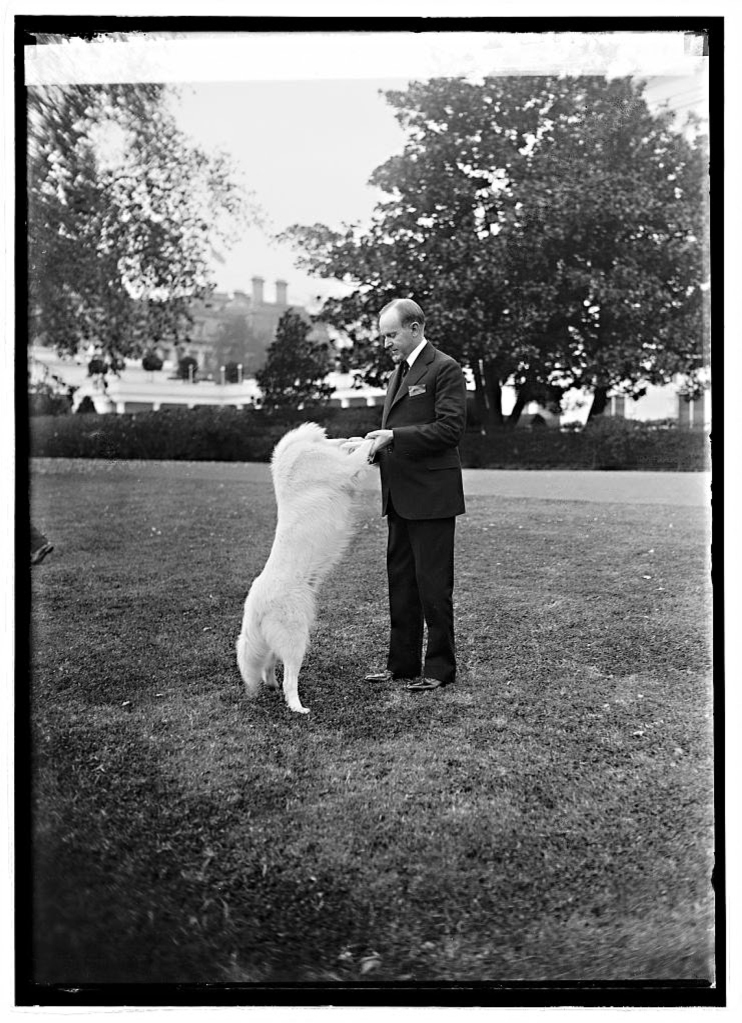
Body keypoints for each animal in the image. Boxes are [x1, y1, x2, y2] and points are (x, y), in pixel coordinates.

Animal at [235, 419, 376, 716]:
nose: (351, 436)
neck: (295, 453)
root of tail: (254, 605)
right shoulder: (344, 468)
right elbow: (358, 457)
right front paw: (370, 441)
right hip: (296, 639)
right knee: (290, 679)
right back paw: (297, 707)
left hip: (280, 639)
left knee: (268, 665)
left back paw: (272, 685)